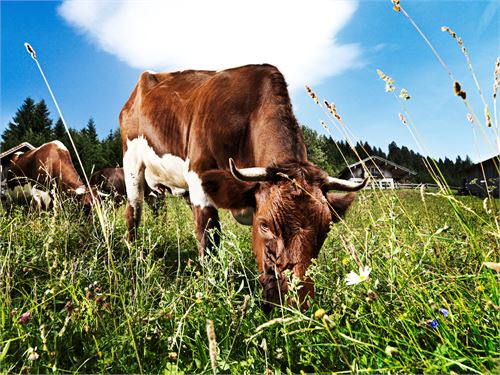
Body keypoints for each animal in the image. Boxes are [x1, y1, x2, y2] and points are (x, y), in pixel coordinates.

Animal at [119, 64, 366, 312]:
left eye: (326, 228)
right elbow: (208, 237)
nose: (298, 303)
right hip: (131, 161)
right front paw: (210, 292)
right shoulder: (198, 173)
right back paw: (134, 255)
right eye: (265, 225)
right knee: (134, 211)